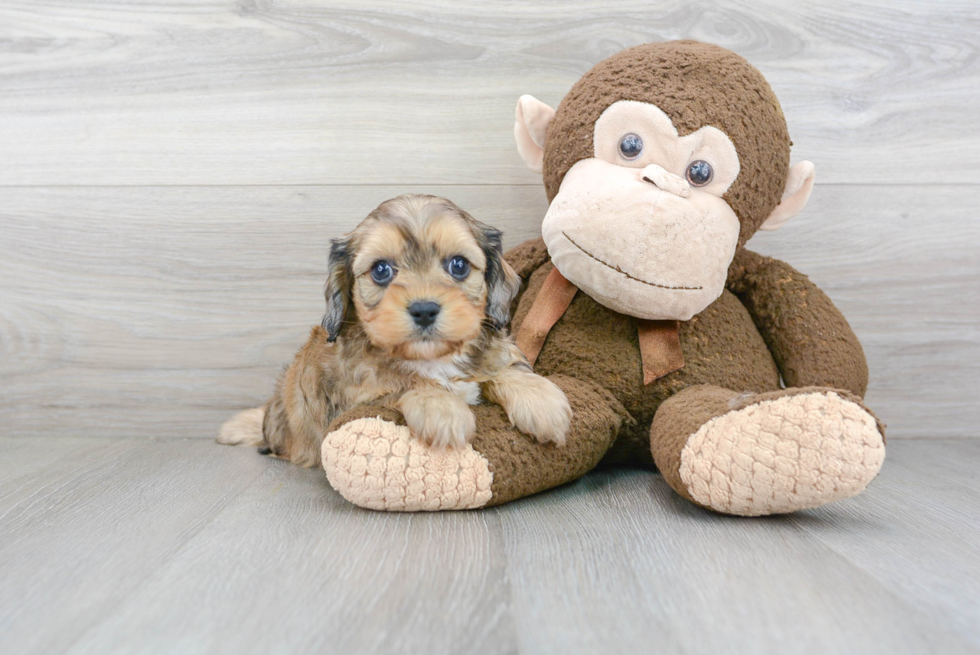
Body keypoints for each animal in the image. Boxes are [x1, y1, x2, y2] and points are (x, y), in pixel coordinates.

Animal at [220, 193, 576, 466]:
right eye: (381, 270)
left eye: (459, 265)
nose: (424, 309)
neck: (433, 359)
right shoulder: (354, 397)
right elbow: (401, 384)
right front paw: (441, 408)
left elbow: (498, 369)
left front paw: (538, 399)